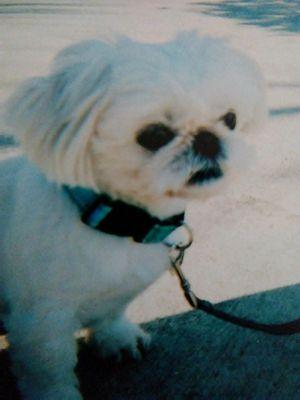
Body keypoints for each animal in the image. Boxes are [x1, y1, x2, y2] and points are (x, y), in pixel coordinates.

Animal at [0, 32, 264, 398]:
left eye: (230, 120)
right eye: (154, 135)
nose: (208, 139)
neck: (119, 225)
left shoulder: (117, 292)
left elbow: (110, 313)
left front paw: (116, 338)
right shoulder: (41, 320)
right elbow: (48, 367)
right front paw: (56, 394)